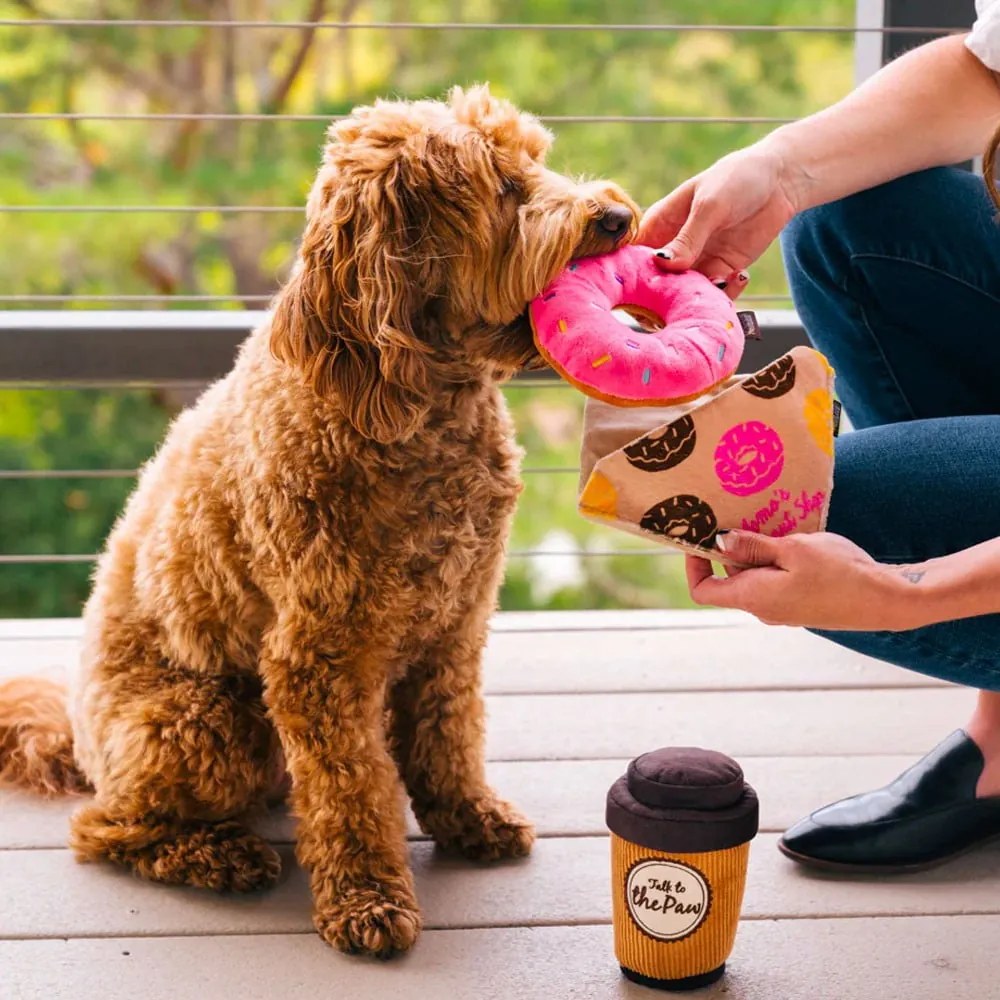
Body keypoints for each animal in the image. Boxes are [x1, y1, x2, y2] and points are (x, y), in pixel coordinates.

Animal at [0, 84, 640, 952]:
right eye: (505, 188)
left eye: (538, 160)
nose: (618, 216)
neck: (418, 404)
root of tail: (78, 736)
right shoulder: (321, 655)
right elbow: (351, 786)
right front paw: (366, 898)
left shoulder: (456, 624)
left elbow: (448, 736)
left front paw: (467, 818)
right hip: (206, 721)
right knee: (103, 828)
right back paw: (218, 856)